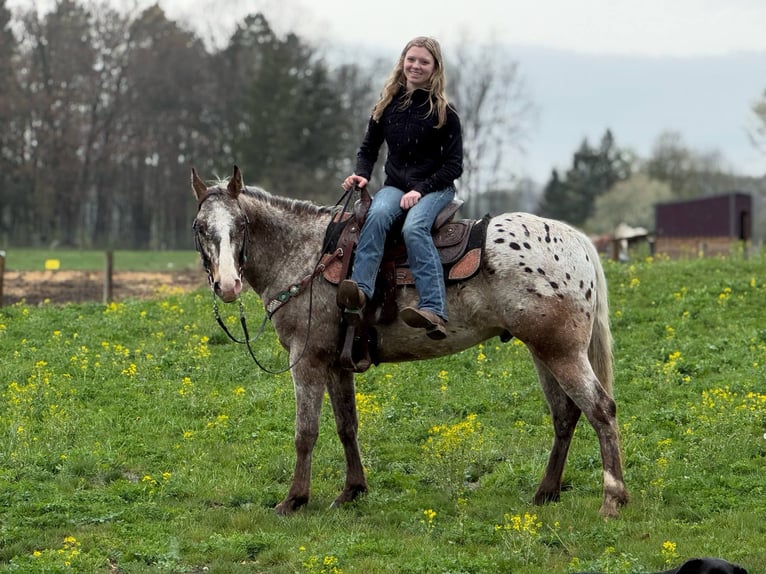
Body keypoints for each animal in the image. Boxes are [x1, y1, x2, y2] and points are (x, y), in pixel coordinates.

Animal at [191, 165, 628, 518]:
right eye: (200, 227)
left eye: (241, 225)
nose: (227, 285)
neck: (309, 256)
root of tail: (576, 241)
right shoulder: (335, 363)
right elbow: (346, 426)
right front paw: (352, 491)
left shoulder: (308, 358)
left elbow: (306, 432)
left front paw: (294, 500)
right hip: (543, 351)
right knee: (565, 415)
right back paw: (545, 493)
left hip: (562, 352)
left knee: (600, 409)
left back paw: (612, 500)